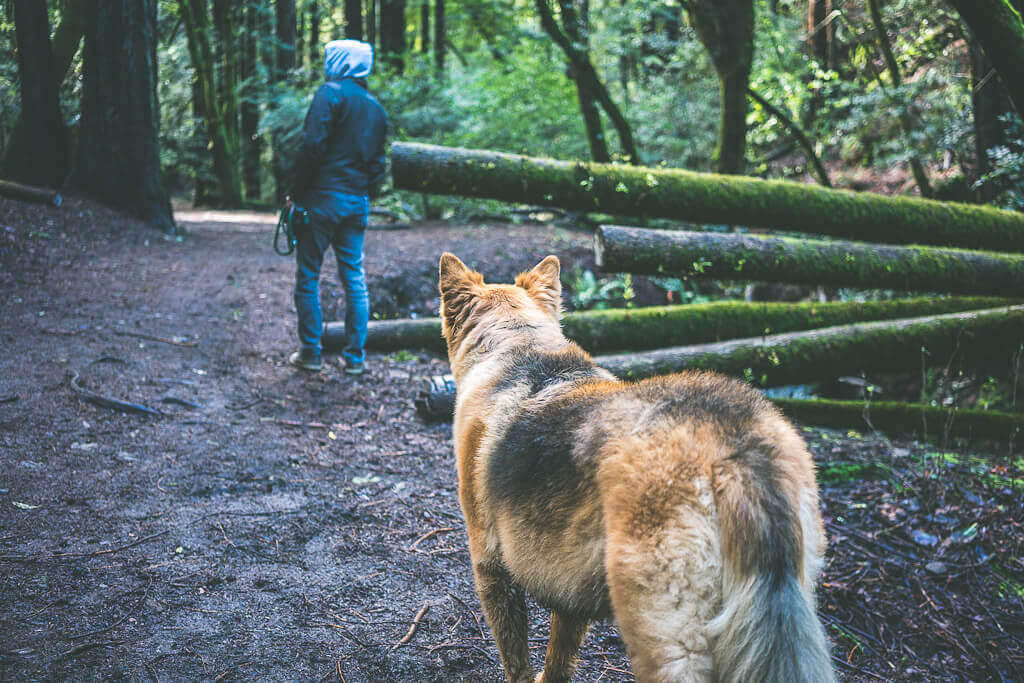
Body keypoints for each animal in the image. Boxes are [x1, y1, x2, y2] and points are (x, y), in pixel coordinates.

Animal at [438, 253, 831, 679]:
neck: (521, 346)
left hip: (665, 637)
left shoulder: (491, 567)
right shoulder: (568, 584)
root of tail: (730, 444)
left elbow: (517, 659)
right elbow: (560, 654)